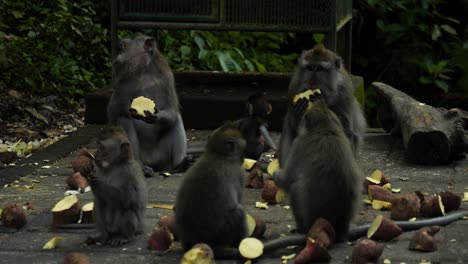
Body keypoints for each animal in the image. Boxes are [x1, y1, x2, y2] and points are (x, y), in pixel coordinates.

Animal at [107, 33, 186, 177]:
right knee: (124, 121)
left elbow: (172, 111)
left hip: (163, 156)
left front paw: (157, 115)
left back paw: (179, 165)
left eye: (124, 46)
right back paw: (140, 166)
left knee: (176, 118)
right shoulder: (122, 84)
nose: (118, 56)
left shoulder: (167, 79)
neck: (143, 72)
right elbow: (114, 116)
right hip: (143, 156)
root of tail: (153, 162)